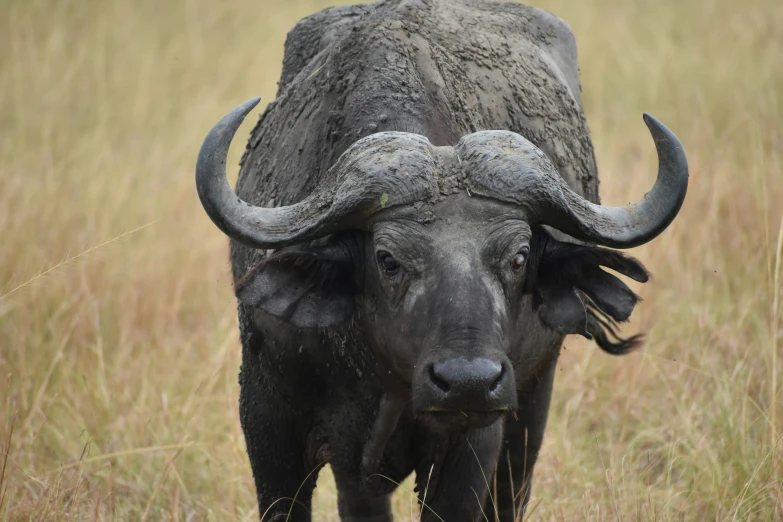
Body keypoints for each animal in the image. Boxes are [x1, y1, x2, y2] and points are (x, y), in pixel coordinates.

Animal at [194, 2, 688, 516]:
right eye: (388, 259)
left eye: (519, 257)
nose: (468, 381)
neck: (384, 377)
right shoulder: (267, 422)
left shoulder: (475, 439)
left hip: (532, 403)